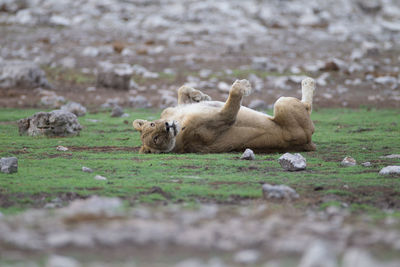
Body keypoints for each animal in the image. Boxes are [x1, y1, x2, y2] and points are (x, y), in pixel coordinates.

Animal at [134, 78, 316, 155]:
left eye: (152, 125)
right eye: (156, 139)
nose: (167, 126)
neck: (179, 121)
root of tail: (308, 144)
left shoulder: (172, 110)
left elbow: (182, 89)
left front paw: (200, 96)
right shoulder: (221, 120)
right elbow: (232, 99)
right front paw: (243, 85)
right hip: (282, 104)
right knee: (306, 107)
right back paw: (308, 81)